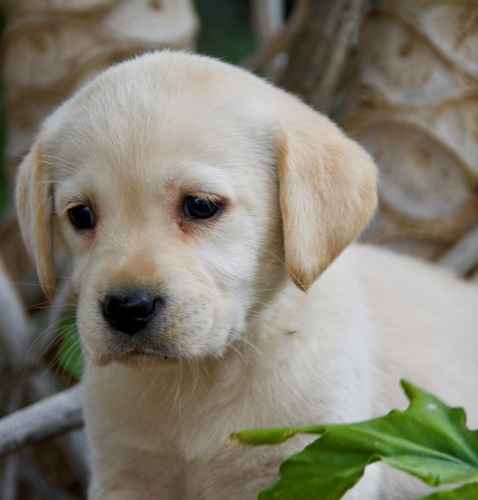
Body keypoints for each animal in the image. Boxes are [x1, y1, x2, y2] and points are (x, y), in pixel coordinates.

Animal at [14, 52, 478, 498]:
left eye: (201, 205)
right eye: (81, 215)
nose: (127, 308)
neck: (200, 378)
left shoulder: (319, 465)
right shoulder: (124, 475)